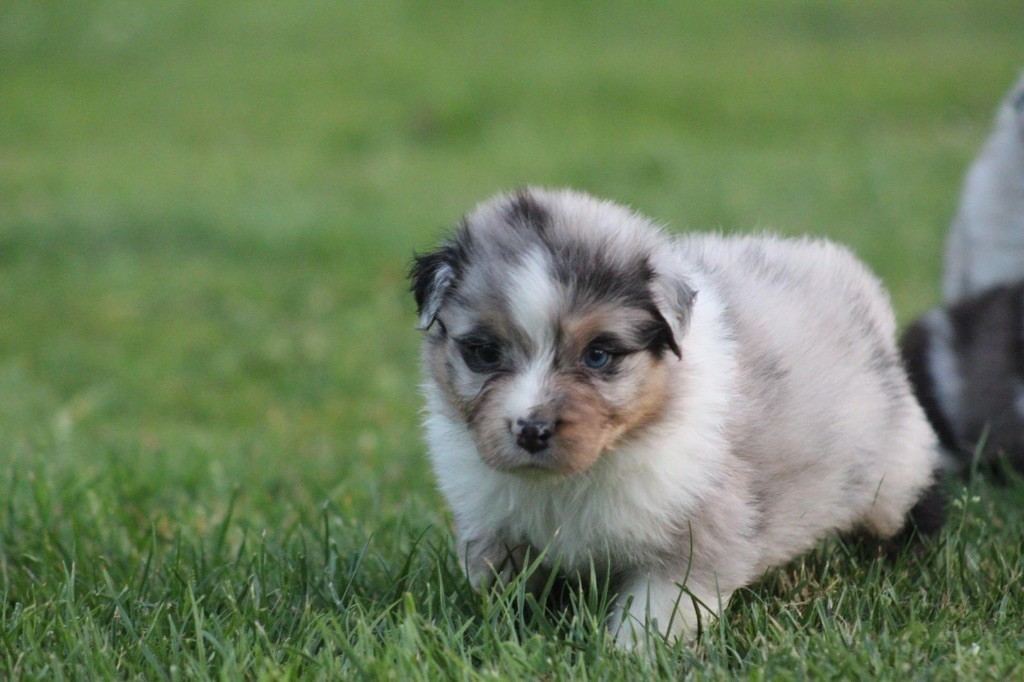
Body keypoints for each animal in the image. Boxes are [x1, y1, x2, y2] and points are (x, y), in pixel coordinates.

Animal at [410, 188, 945, 648]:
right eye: (484, 353)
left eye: (598, 355)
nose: (531, 430)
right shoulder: (495, 530)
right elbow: (504, 589)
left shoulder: (695, 533)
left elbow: (656, 611)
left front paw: (629, 656)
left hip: (891, 464)